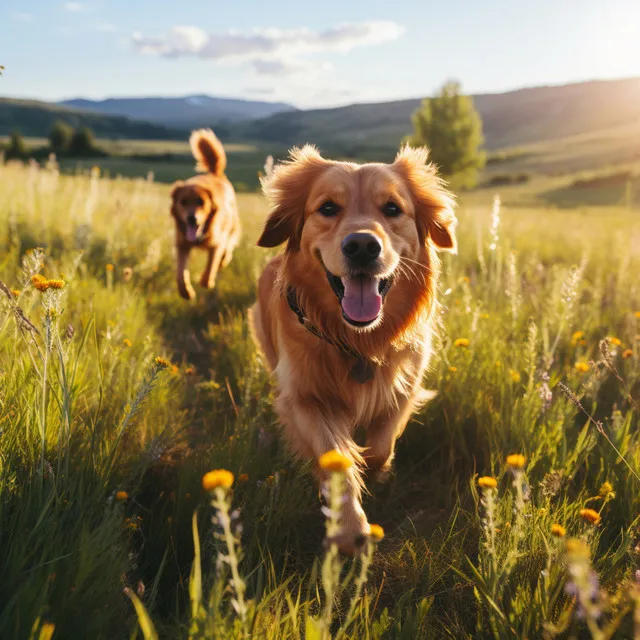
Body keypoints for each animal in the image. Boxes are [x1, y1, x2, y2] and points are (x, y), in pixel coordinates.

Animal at [170, 131, 240, 302]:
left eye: (201, 202)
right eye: (183, 202)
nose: (191, 218)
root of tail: (216, 174)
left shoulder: (217, 242)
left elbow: (211, 265)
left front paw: (205, 281)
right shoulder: (181, 244)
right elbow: (180, 272)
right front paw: (185, 292)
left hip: (231, 226)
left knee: (228, 249)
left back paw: (223, 261)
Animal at [249, 145, 456, 556]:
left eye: (392, 208)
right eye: (328, 208)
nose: (362, 246)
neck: (359, 341)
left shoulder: (405, 387)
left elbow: (380, 446)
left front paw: (375, 472)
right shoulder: (303, 398)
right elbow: (336, 458)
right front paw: (349, 528)